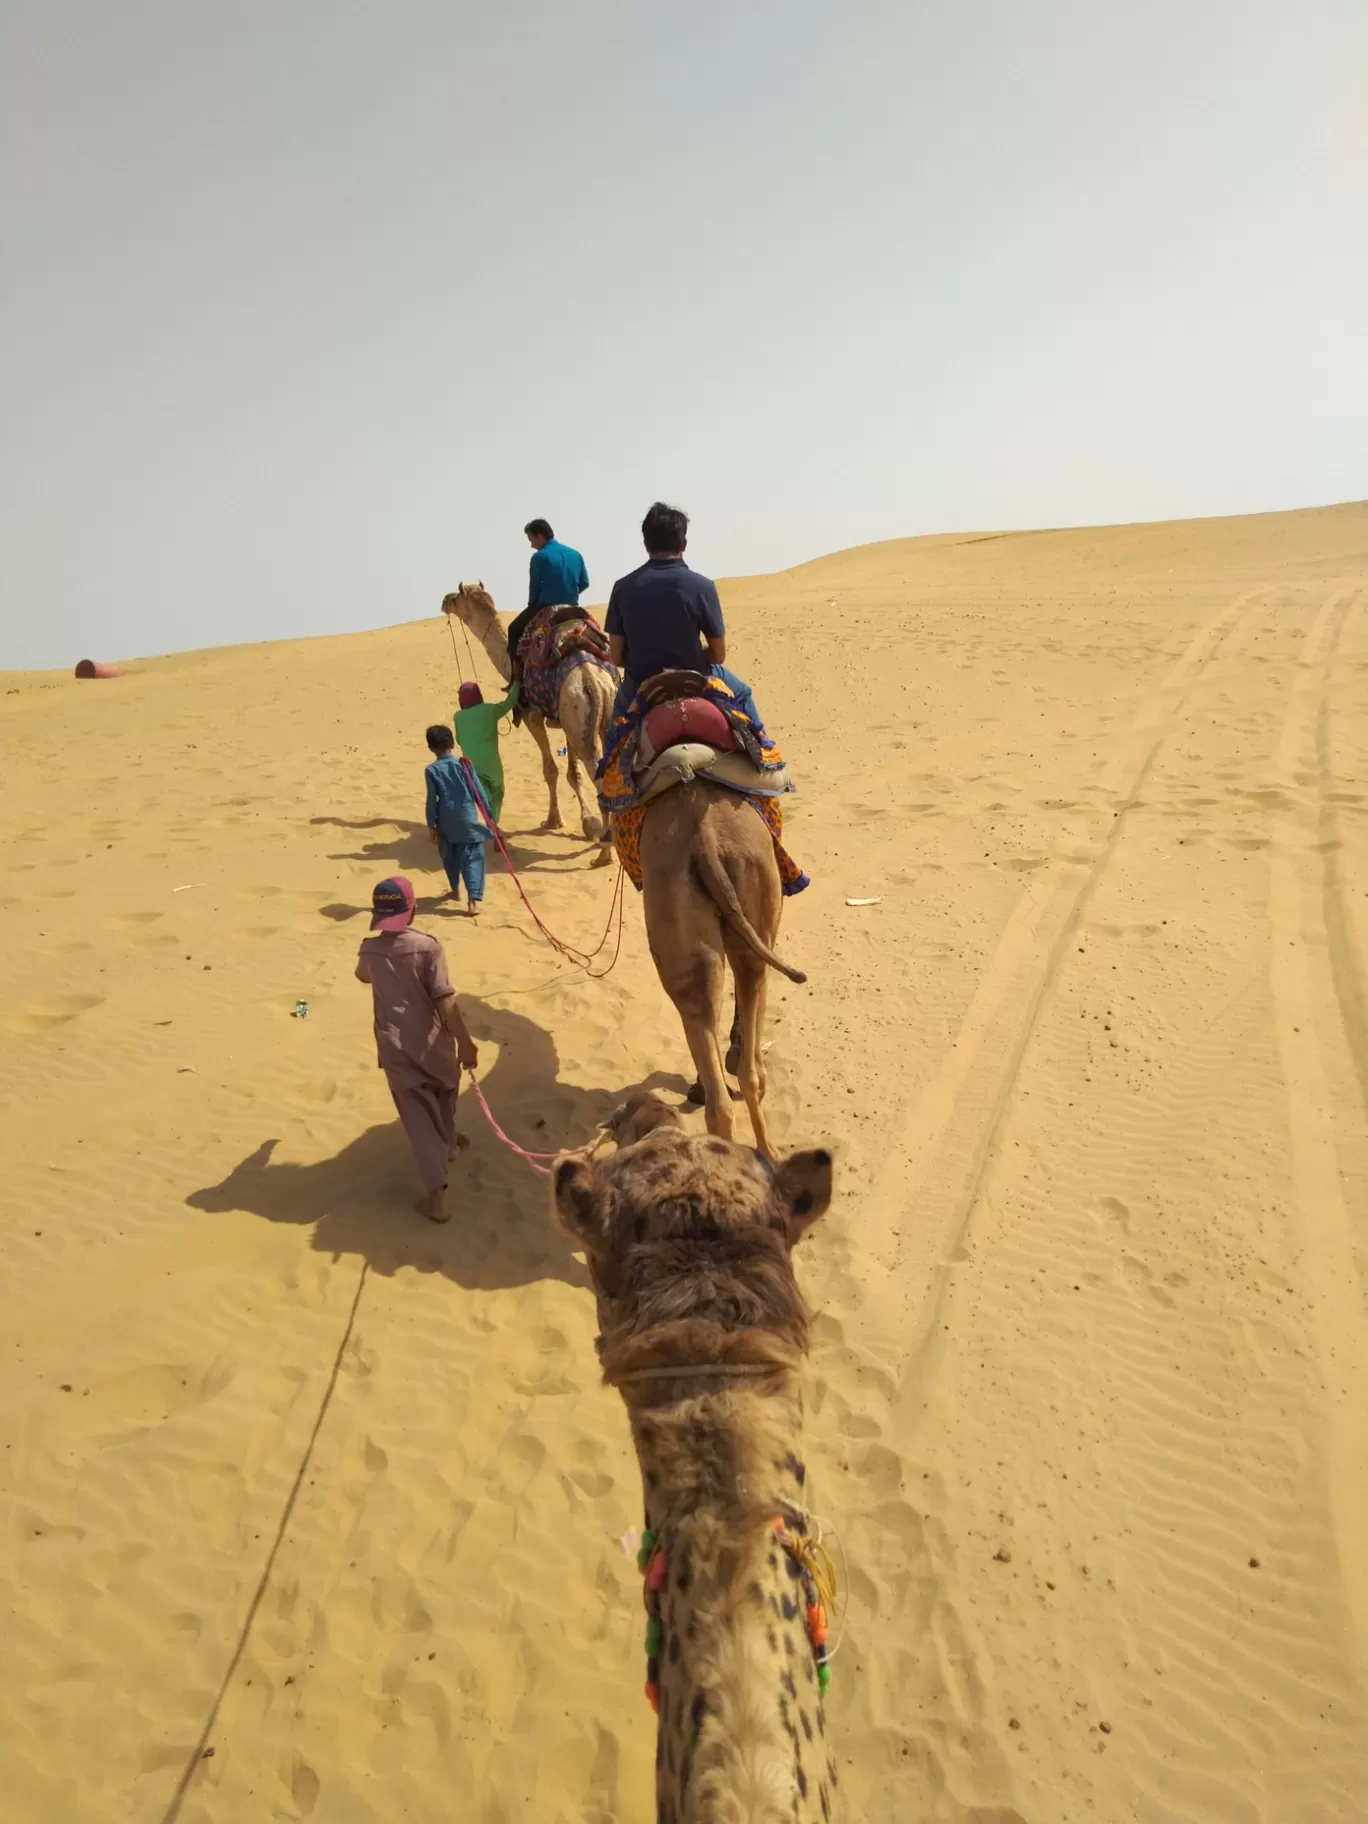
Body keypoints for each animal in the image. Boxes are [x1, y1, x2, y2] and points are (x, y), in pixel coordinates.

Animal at [445, 587, 616, 864]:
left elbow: (551, 770)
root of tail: (591, 680)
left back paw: (604, 854)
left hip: (580, 721)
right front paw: (588, 824)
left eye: (457, 597)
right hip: (600, 714)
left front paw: (554, 820)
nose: (444, 601)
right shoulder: (566, 721)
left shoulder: (532, 716)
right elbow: (573, 773)